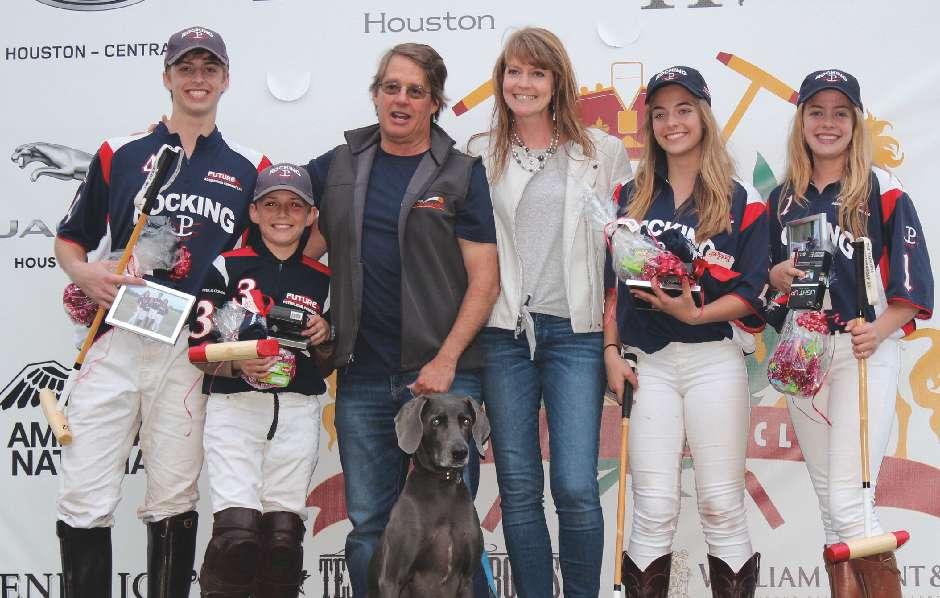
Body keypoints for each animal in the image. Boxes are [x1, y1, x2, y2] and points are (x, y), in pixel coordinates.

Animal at [367, 393, 490, 598]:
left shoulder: (466, 579)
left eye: (466, 421)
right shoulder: (391, 579)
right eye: (436, 421)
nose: (460, 452)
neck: (443, 486)